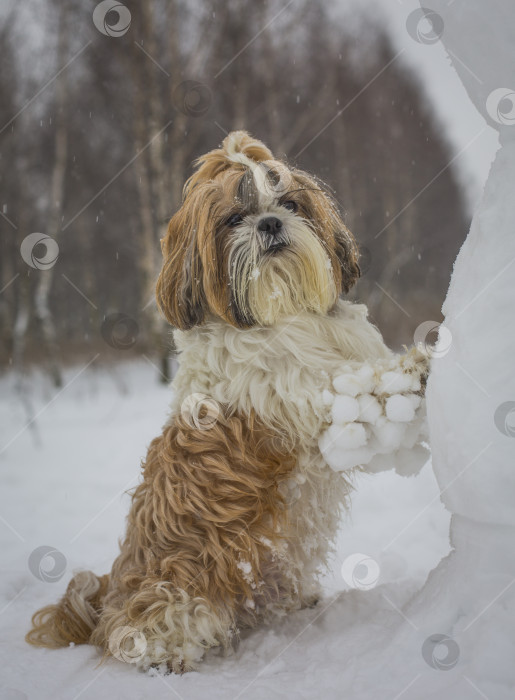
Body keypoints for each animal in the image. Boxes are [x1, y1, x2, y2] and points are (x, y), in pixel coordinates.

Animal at [28, 131, 432, 672]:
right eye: (233, 219)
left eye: (289, 204)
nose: (270, 223)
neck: (283, 315)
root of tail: (107, 603)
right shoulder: (312, 404)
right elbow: (364, 391)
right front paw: (417, 367)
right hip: (180, 597)